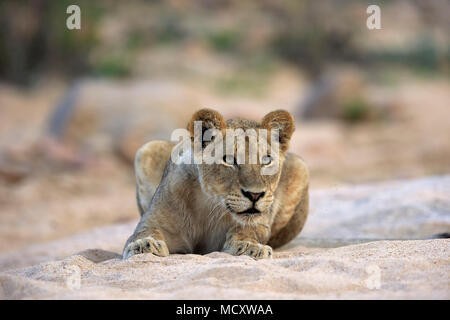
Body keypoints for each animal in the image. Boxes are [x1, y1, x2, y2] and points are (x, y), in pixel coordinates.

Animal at [121, 108, 308, 260]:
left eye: (266, 160)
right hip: (146, 150)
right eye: (229, 160)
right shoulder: (153, 220)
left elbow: (248, 231)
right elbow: (145, 231)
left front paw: (251, 246)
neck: (210, 206)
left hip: (300, 166)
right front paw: (143, 244)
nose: (255, 195)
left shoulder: (259, 224)